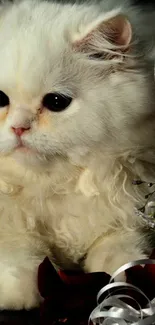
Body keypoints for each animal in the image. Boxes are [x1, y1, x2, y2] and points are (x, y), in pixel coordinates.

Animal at [0, 0, 154, 308]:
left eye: (56, 102)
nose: (18, 128)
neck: (53, 185)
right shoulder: (9, 224)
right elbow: (19, 253)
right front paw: (21, 292)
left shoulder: (130, 219)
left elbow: (121, 255)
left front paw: (124, 284)